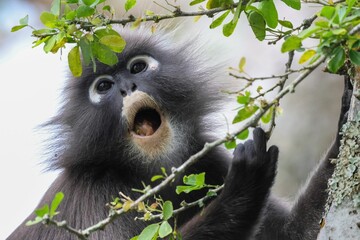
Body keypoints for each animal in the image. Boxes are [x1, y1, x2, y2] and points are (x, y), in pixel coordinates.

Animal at [6, 26, 352, 240]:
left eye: (137, 68)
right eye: (103, 87)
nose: (126, 87)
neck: (153, 170)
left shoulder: (208, 161)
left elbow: (296, 232)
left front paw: (346, 120)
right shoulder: (94, 193)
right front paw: (245, 183)